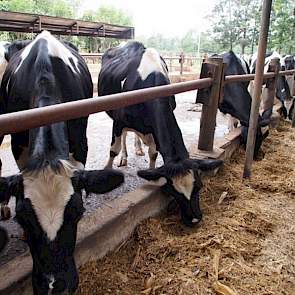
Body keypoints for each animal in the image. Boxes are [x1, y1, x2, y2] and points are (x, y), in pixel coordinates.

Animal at [98, 40, 223, 227]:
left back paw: (138, 149)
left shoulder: (152, 129)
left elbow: (153, 154)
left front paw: (151, 172)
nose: (194, 219)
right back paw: (124, 157)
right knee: (125, 138)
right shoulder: (119, 121)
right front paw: (108, 169)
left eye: (199, 186)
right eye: (174, 192)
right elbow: (114, 148)